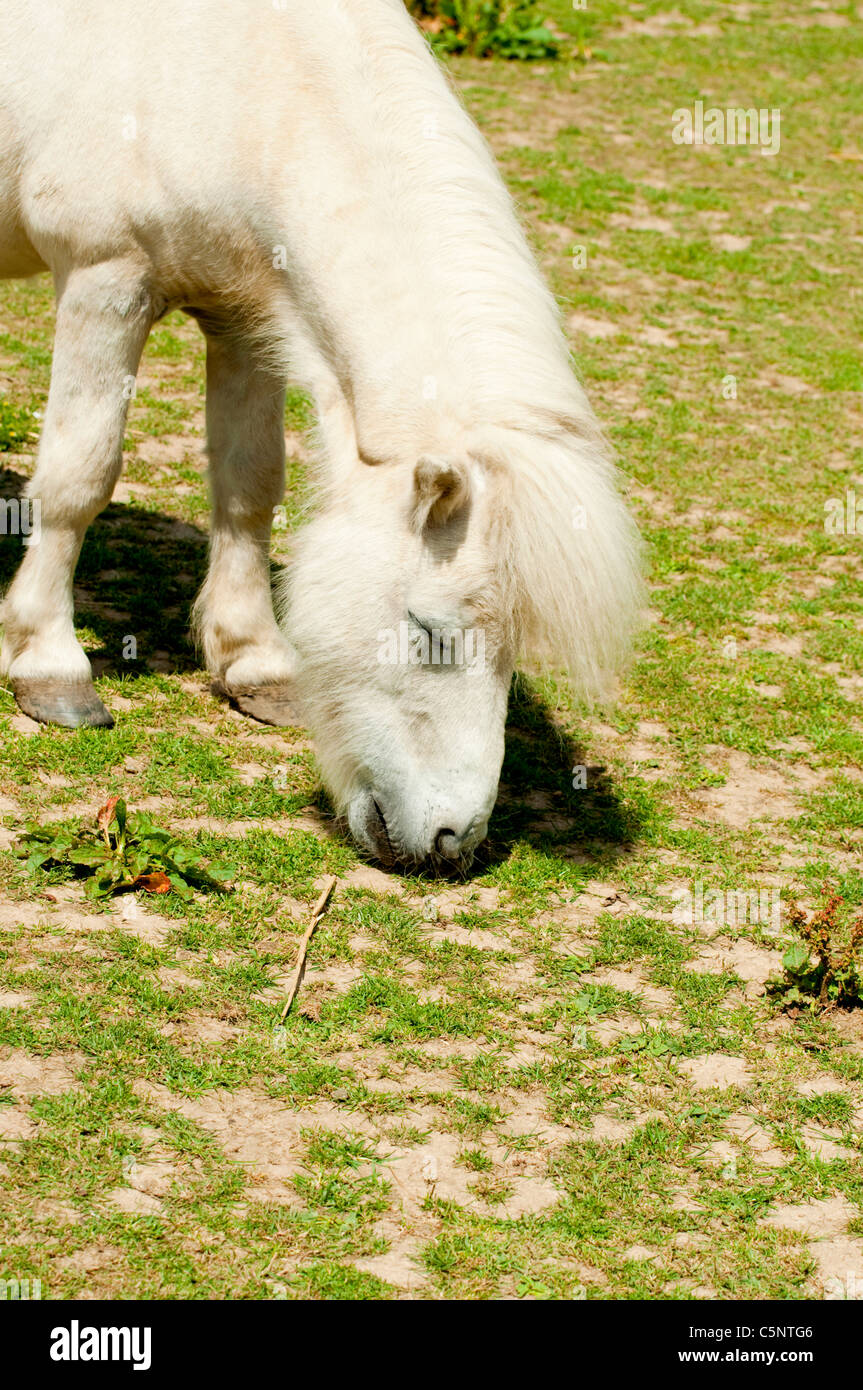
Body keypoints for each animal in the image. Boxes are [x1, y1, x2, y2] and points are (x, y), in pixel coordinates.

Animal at [0, 2, 636, 867]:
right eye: (428, 633)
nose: (451, 843)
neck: (245, 81)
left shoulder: (244, 311)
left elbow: (249, 484)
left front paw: (255, 662)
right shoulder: (107, 281)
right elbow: (78, 478)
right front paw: (49, 667)